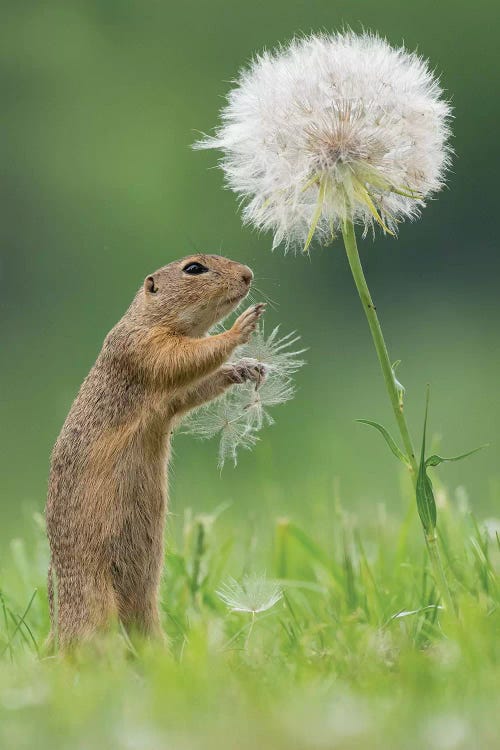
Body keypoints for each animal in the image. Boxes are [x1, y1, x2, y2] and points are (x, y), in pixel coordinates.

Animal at [46, 256, 266, 648]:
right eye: (193, 268)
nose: (248, 275)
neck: (147, 317)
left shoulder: (170, 397)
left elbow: (192, 385)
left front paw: (244, 368)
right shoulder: (142, 345)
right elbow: (181, 358)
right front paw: (240, 328)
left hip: (145, 608)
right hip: (93, 603)